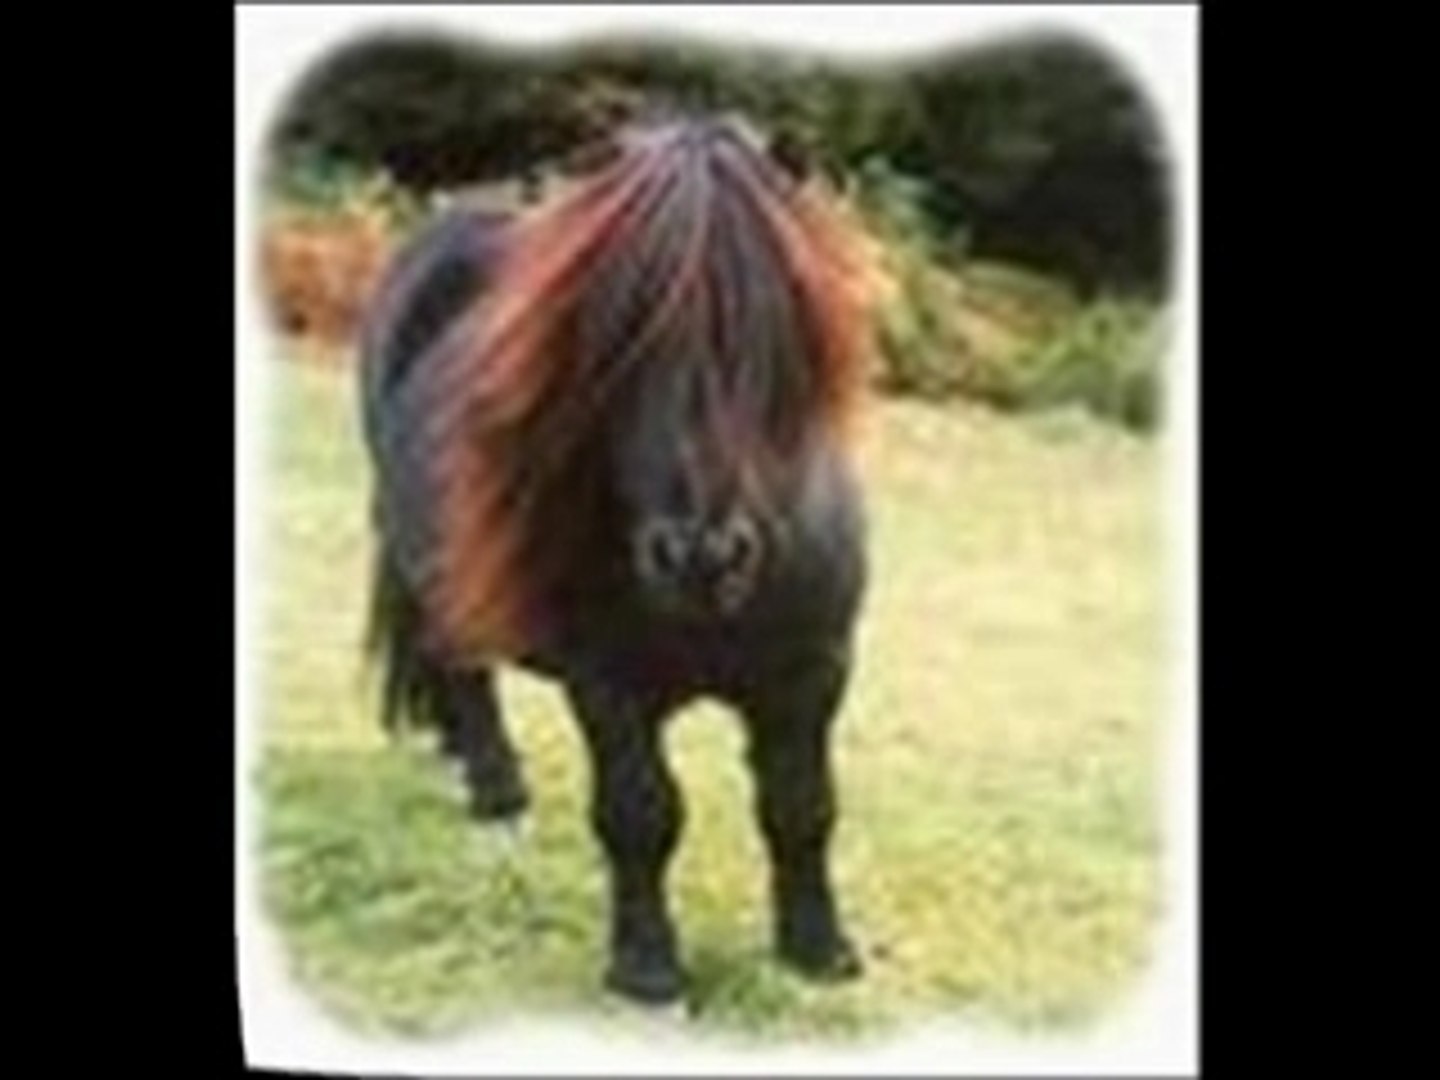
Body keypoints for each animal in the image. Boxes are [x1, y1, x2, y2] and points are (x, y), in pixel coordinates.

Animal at [359, 116, 873, 1006]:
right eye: (621, 330)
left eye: (779, 321)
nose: (699, 556)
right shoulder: (606, 684)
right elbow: (641, 813)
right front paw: (646, 967)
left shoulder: (813, 673)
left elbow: (801, 807)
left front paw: (819, 951)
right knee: (463, 669)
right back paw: (496, 789)